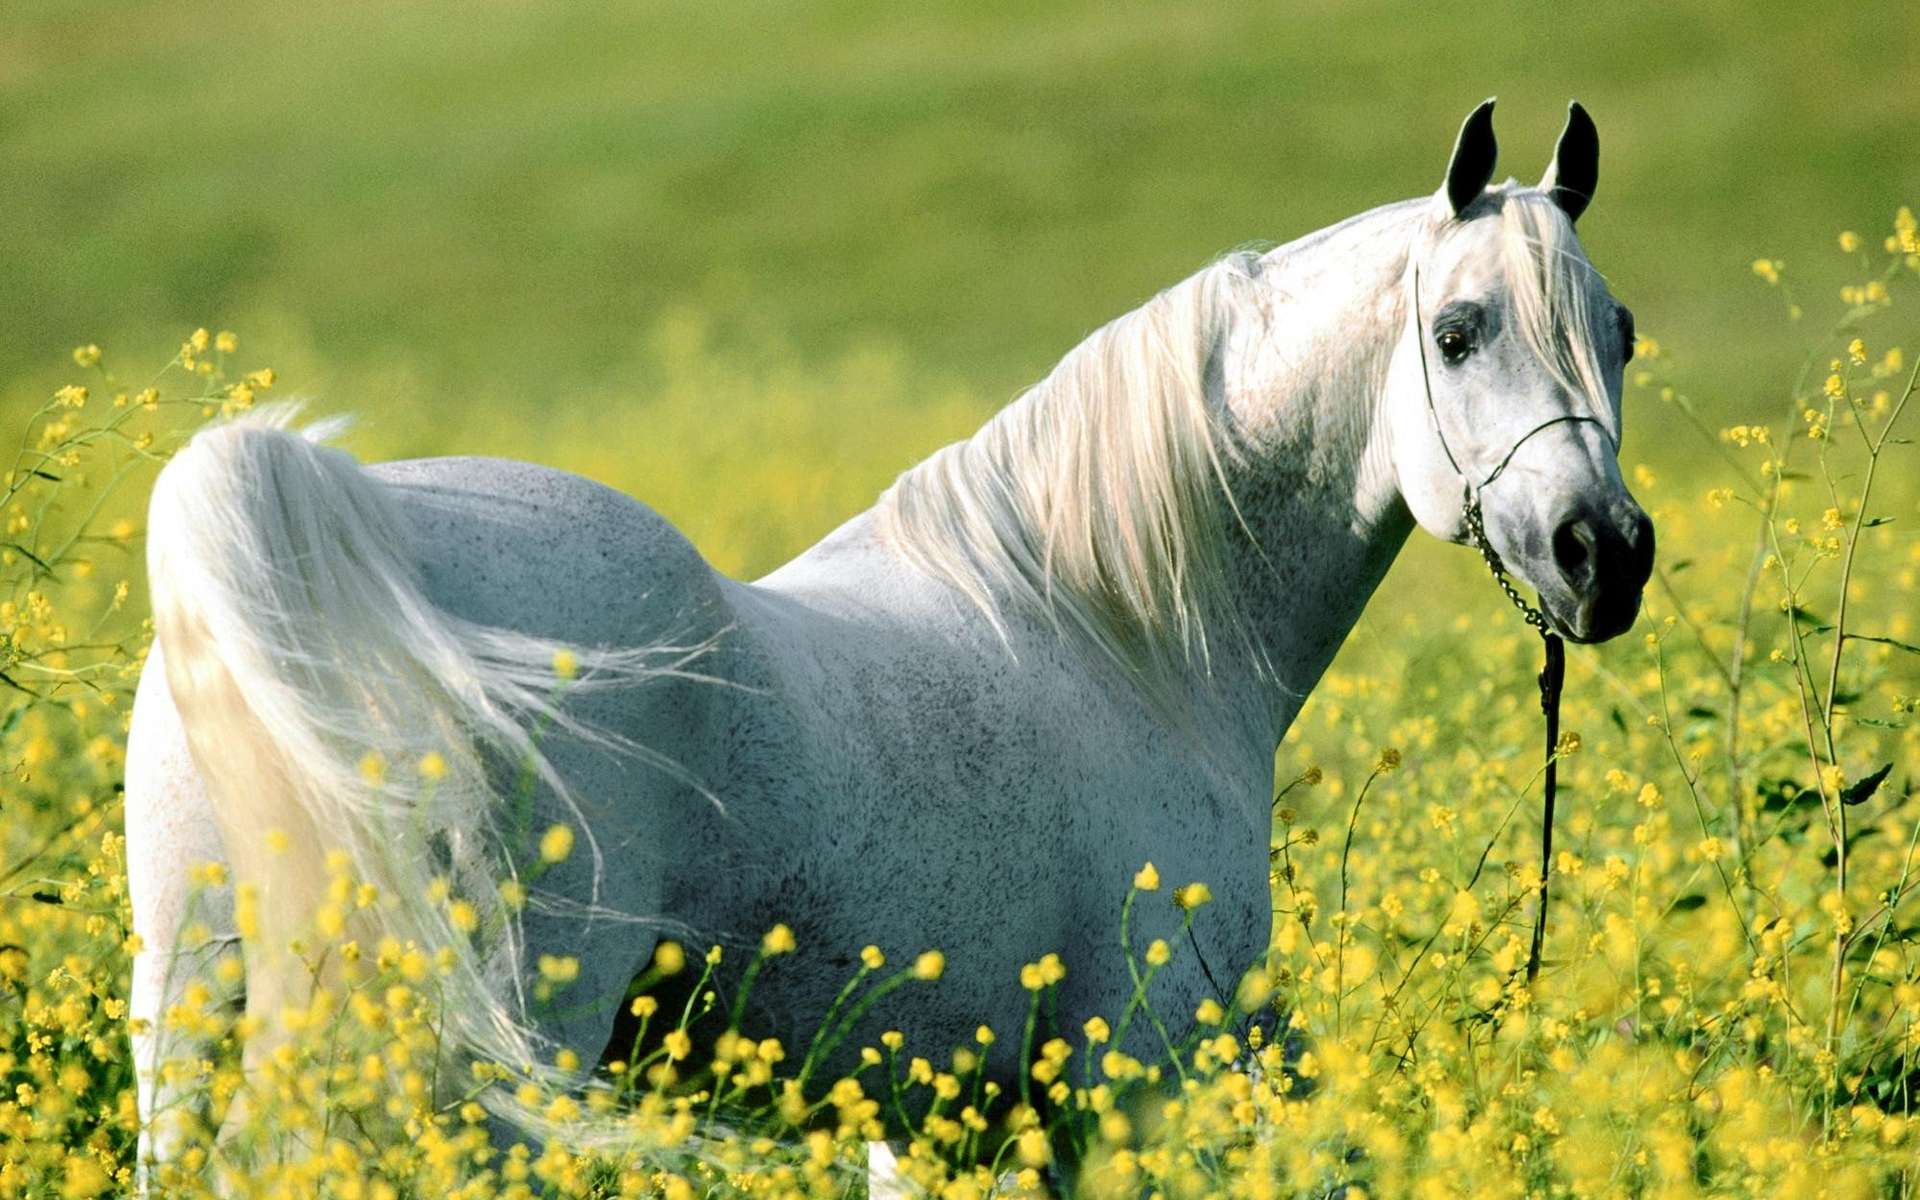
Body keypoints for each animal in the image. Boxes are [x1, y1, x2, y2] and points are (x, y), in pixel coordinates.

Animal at [123, 100, 1651, 1182]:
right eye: (1458, 330)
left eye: (1622, 332)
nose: (1607, 553)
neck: (1120, 635)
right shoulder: (1136, 1085)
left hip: (194, 1022)